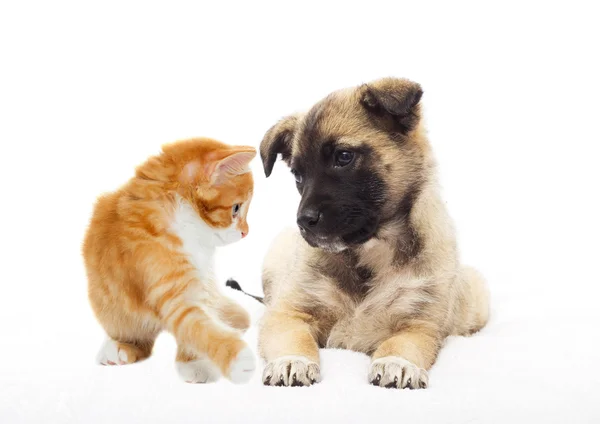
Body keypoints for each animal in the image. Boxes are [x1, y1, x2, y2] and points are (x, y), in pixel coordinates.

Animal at [82, 138, 255, 384]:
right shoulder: (170, 290)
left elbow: (199, 322)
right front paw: (237, 358)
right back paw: (118, 348)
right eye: (236, 208)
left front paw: (193, 363)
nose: (245, 233)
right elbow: (197, 326)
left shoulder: (201, 283)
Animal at [256, 76, 488, 388]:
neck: (371, 251)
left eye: (343, 157)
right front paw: (292, 361)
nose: (304, 221)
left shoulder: (419, 325)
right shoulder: (289, 313)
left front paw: (397, 363)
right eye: (297, 174)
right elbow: (293, 338)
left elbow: (401, 345)